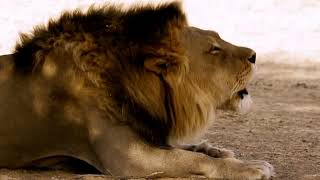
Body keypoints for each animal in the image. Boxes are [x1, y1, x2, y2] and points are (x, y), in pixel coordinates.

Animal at [0, 1, 276, 180]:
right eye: (214, 49)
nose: (254, 55)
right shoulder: (128, 158)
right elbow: (191, 158)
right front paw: (252, 168)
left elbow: (190, 149)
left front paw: (221, 152)